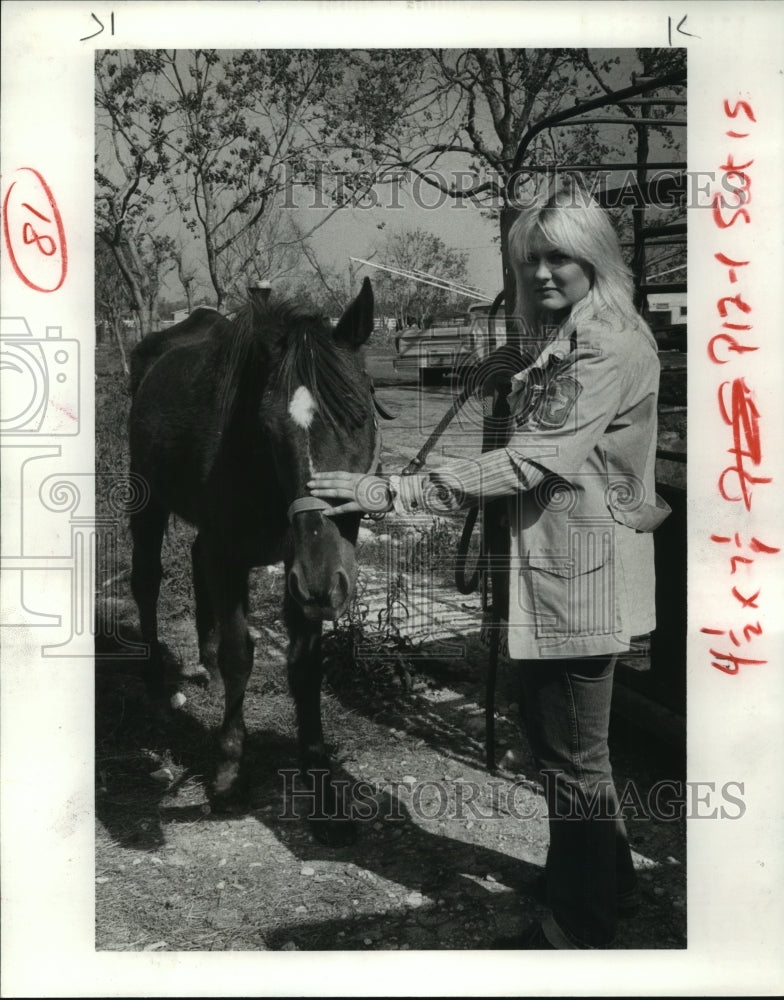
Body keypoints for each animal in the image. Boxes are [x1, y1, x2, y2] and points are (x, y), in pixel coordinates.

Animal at [129, 280, 380, 844]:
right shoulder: (236, 555)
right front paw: (226, 772)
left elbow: (304, 668)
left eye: (360, 416)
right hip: (147, 495)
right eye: (268, 429)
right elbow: (240, 655)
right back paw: (155, 679)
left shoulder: (296, 569)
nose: (323, 584)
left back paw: (201, 661)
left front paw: (320, 787)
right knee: (147, 580)